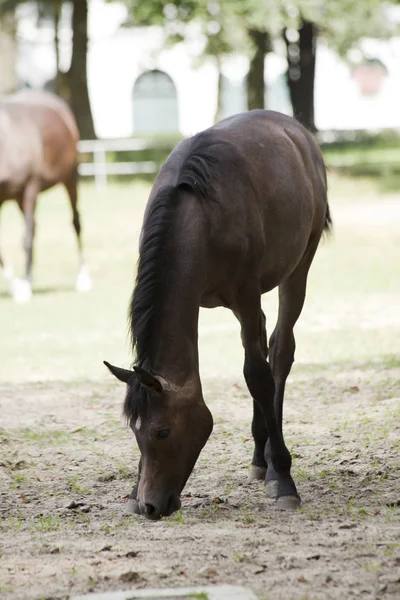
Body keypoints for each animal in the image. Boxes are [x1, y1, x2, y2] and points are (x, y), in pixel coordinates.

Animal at [0, 88, 90, 300]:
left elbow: (26, 239)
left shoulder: (30, 188)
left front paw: (23, 287)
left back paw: (83, 277)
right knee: (35, 228)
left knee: (75, 222)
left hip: (70, 177)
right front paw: (16, 285)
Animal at [104, 109, 332, 520]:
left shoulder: (245, 294)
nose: (150, 505)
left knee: (280, 352)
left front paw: (284, 478)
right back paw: (259, 458)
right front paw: (131, 491)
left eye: (163, 431)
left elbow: (257, 376)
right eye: (134, 432)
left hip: (297, 267)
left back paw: (272, 463)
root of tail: (298, 131)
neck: (199, 214)